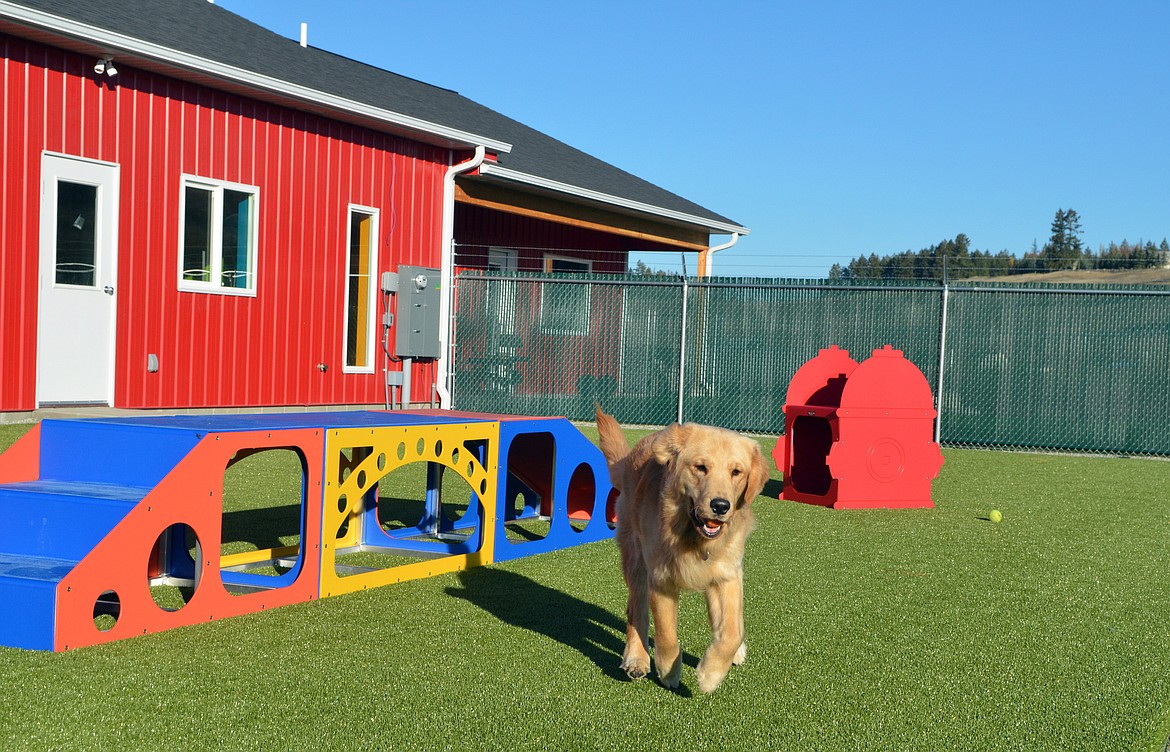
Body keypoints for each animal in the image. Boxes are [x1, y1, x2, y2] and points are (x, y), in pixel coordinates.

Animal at [594, 406, 767, 692]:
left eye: (736, 472)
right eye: (700, 467)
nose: (721, 506)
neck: (693, 538)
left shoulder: (727, 576)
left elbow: (731, 632)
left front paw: (711, 674)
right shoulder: (661, 580)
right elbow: (666, 633)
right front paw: (668, 670)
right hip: (636, 559)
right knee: (636, 610)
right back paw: (637, 658)